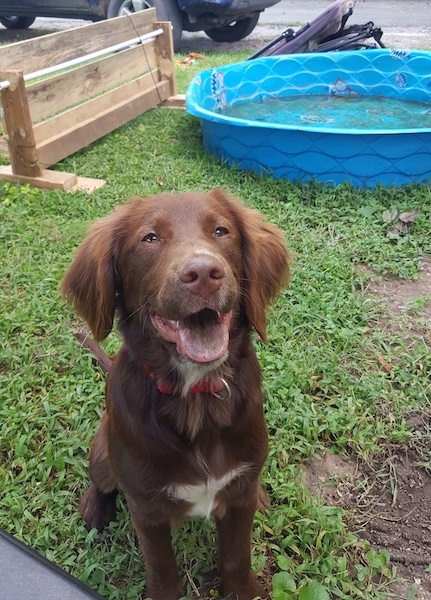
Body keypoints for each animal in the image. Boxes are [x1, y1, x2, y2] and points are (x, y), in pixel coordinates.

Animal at [60, 190, 290, 596]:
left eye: (221, 231)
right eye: (150, 238)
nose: (203, 274)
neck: (196, 394)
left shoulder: (238, 497)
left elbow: (237, 557)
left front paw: (244, 591)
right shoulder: (146, 508)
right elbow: (161, 566)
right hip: (104, 449)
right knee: (101, 481)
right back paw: (95, 510)